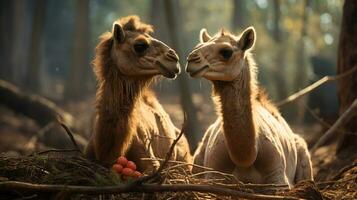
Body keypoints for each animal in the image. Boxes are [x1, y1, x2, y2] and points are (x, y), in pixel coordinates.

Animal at [185, 27, 312, 188]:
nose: (191, 60)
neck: (245, 159)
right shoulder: (213, 174)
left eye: (226, 52)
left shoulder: (277, 179)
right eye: (199, 46)